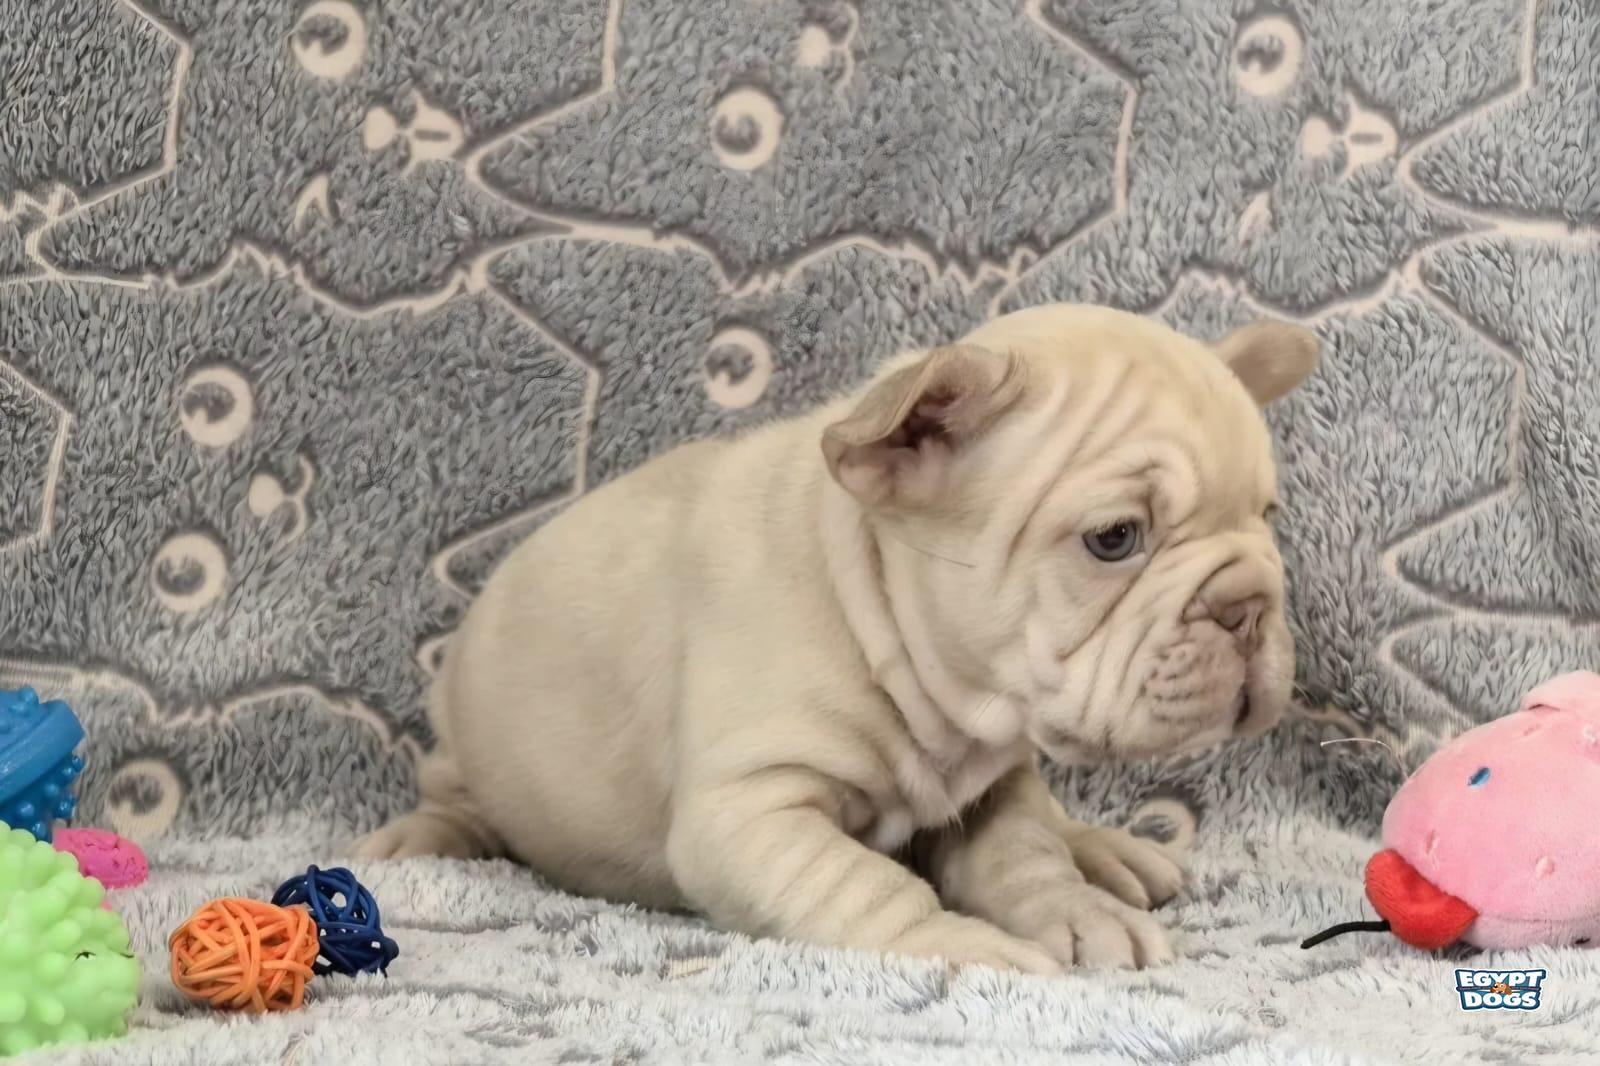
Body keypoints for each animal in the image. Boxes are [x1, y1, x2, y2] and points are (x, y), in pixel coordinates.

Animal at [360, 304, 1319, 973]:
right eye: (1116, 538)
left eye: (1268, 517)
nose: (1249, 606)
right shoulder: (751, 812)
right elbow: (864, 884)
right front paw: (966, 948)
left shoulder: (998, 783)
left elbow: (1026, 853)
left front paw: (1077, 911)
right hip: (468, 737)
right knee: (460, 797)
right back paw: (420, 841)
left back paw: (1112, 851)